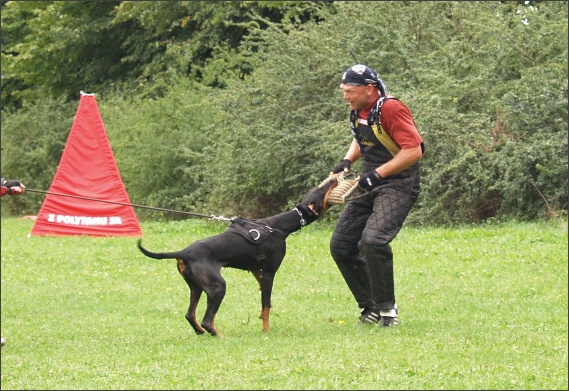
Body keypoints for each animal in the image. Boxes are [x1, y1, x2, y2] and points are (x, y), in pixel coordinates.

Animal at [136, 179, 338, 338]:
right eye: (322, 189)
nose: (335, 178)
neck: (277, 227)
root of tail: (184, 252)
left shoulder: (257, 270)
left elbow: (264, 299)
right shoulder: (269, 272)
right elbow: (266, 306)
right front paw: (266, 330)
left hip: (196, 287)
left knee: (190, 315)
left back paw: (200, 331)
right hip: (217, 287)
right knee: (207, 320)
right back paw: (219, 335)